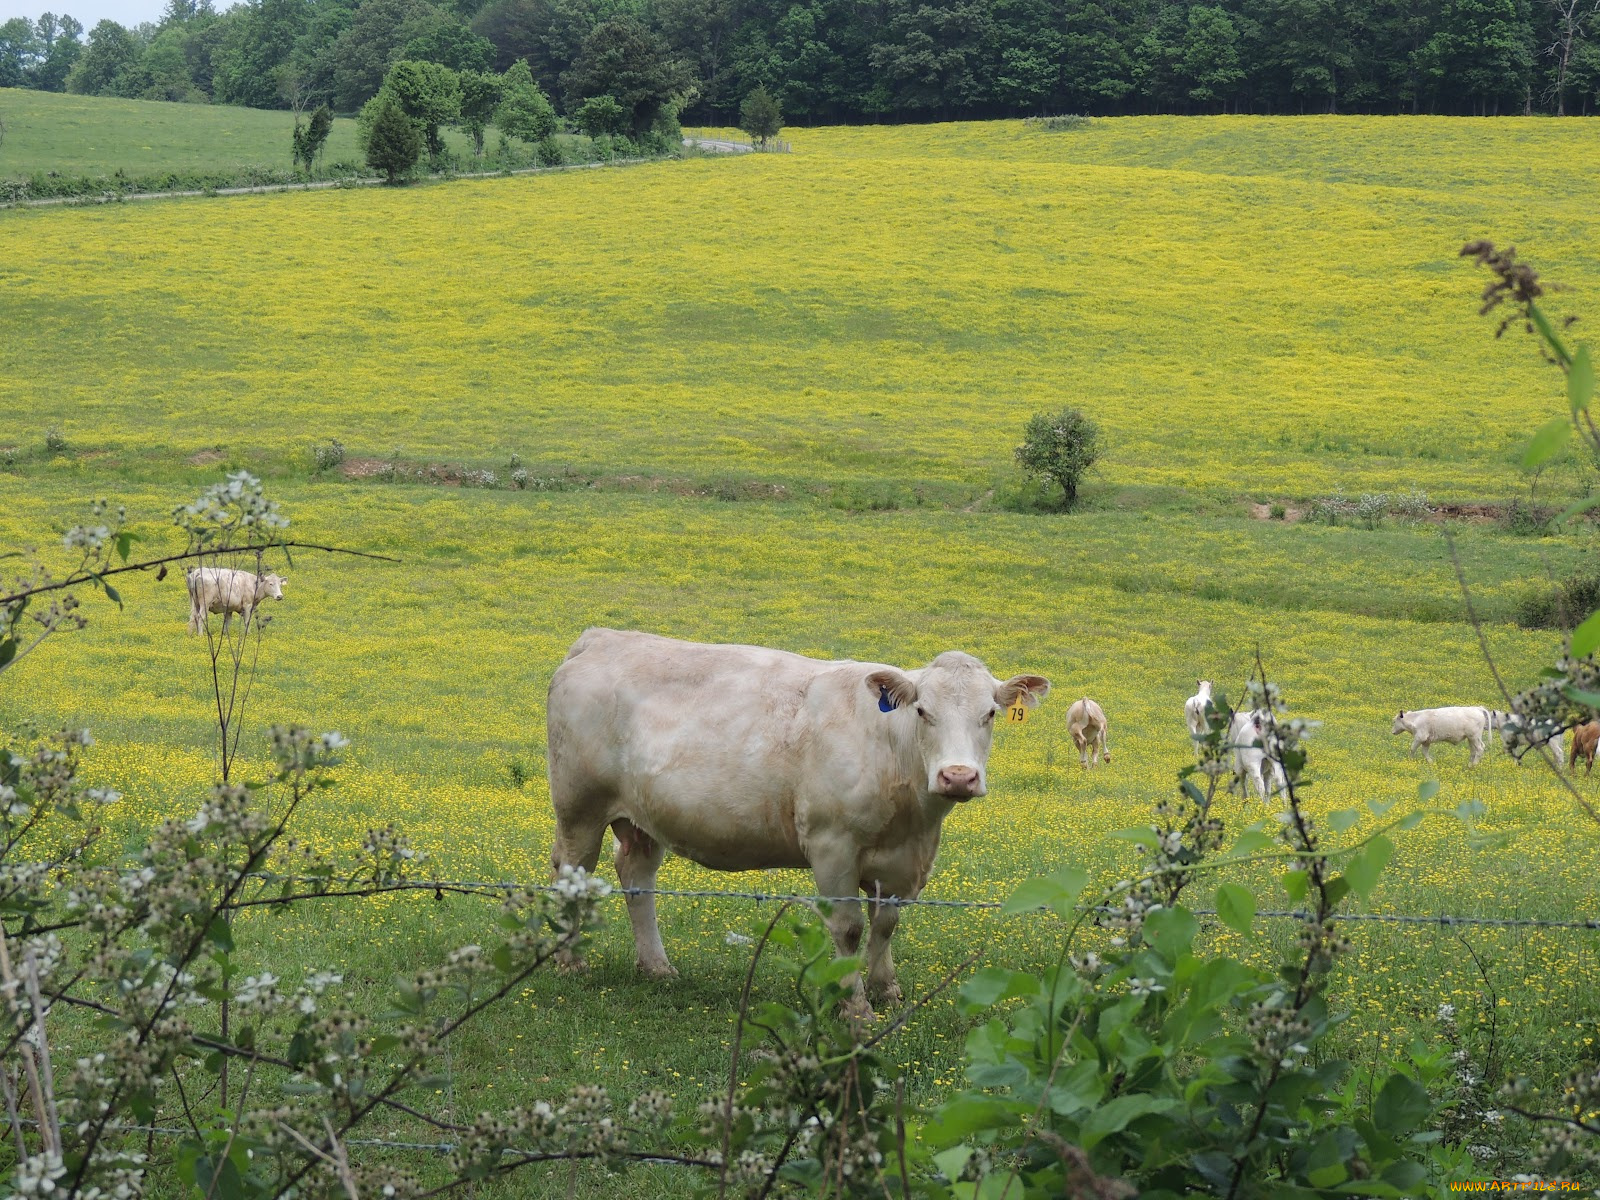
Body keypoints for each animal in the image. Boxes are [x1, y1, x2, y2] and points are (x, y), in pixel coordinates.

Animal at [547, 630, 1049, 1017]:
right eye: (923, 711)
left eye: (989, 713)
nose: (958, 776)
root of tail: (601, 637)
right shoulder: (833, 846)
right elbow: (848, 928)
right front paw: (856, 1007)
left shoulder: (904, 860)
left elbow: (886, 923)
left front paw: (886, 988)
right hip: (579, 808)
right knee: (573, 871)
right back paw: (571, 962)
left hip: (643, 819)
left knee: (637, 876)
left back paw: (657, 966)